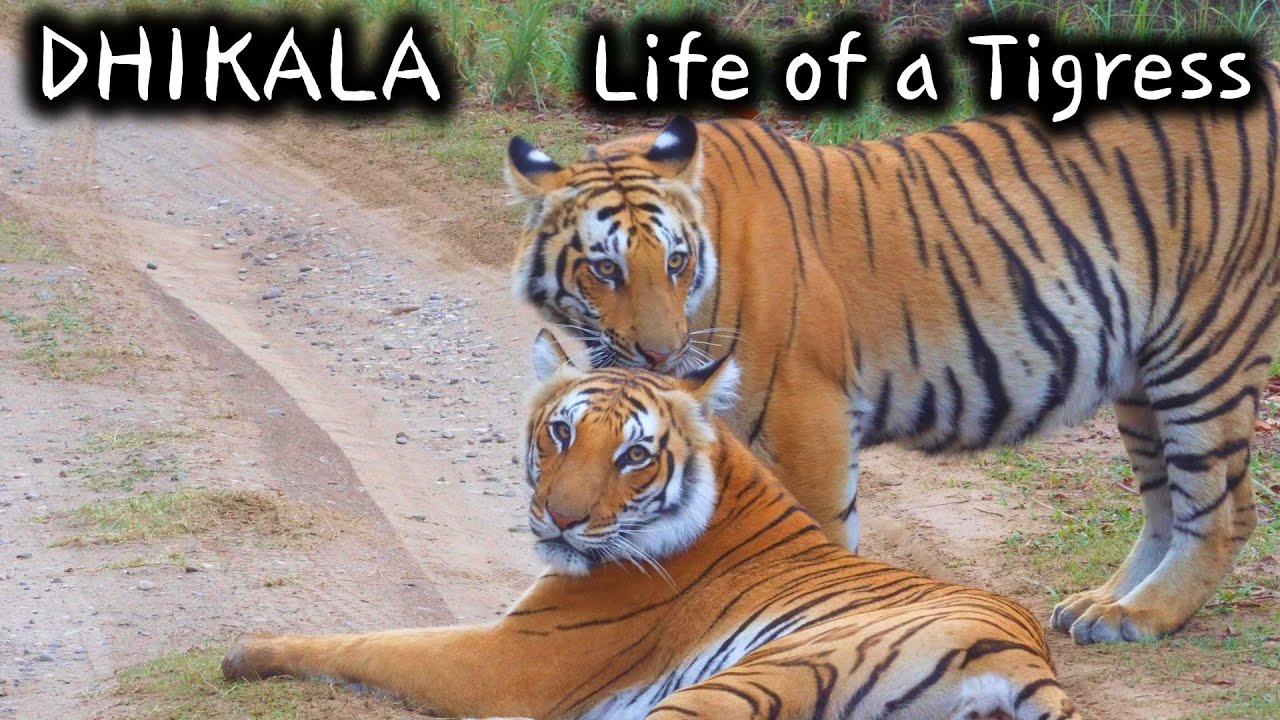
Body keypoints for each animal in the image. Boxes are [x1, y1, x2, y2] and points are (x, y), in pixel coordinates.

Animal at [222, 330, 1079, 720]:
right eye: (560, 433)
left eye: (634, 455)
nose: (561, 518)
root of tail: (1024, 657)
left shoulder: (509, 660)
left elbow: (367, 643)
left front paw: (245, 650)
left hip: (751, 679)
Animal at [504, 61, 1280, 645]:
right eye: (605, 270)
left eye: (675, 261)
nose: (660, 357)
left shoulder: (808, 419)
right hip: (1139, 374)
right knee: (1169, 501)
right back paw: (1105, 603)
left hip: (1200, 349)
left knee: (1222, 508)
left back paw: (1144, 614)